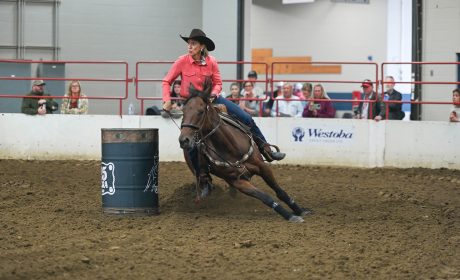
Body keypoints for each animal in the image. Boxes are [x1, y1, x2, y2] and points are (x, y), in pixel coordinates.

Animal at [178, 79, 310, 223]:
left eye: (201, 111)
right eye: (183, 111)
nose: (184, 140)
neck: (230, 148)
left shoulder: (262, 167)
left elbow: (279, 191)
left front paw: (300, 211)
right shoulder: (237, 181)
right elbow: (265, 197)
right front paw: (290, 215)